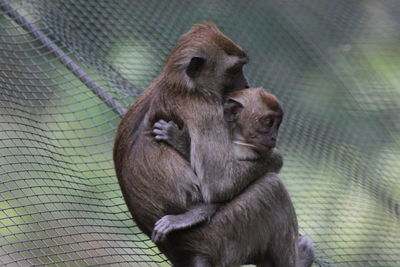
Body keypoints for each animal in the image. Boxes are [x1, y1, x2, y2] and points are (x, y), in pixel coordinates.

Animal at [114, 23, 314, 267]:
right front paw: (276, 157)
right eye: (235, 69)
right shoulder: (205, 111)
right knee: (271, 187)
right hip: (223, 237)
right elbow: (220, 184)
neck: (182, 86)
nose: (246, 84)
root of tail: (189, 256)